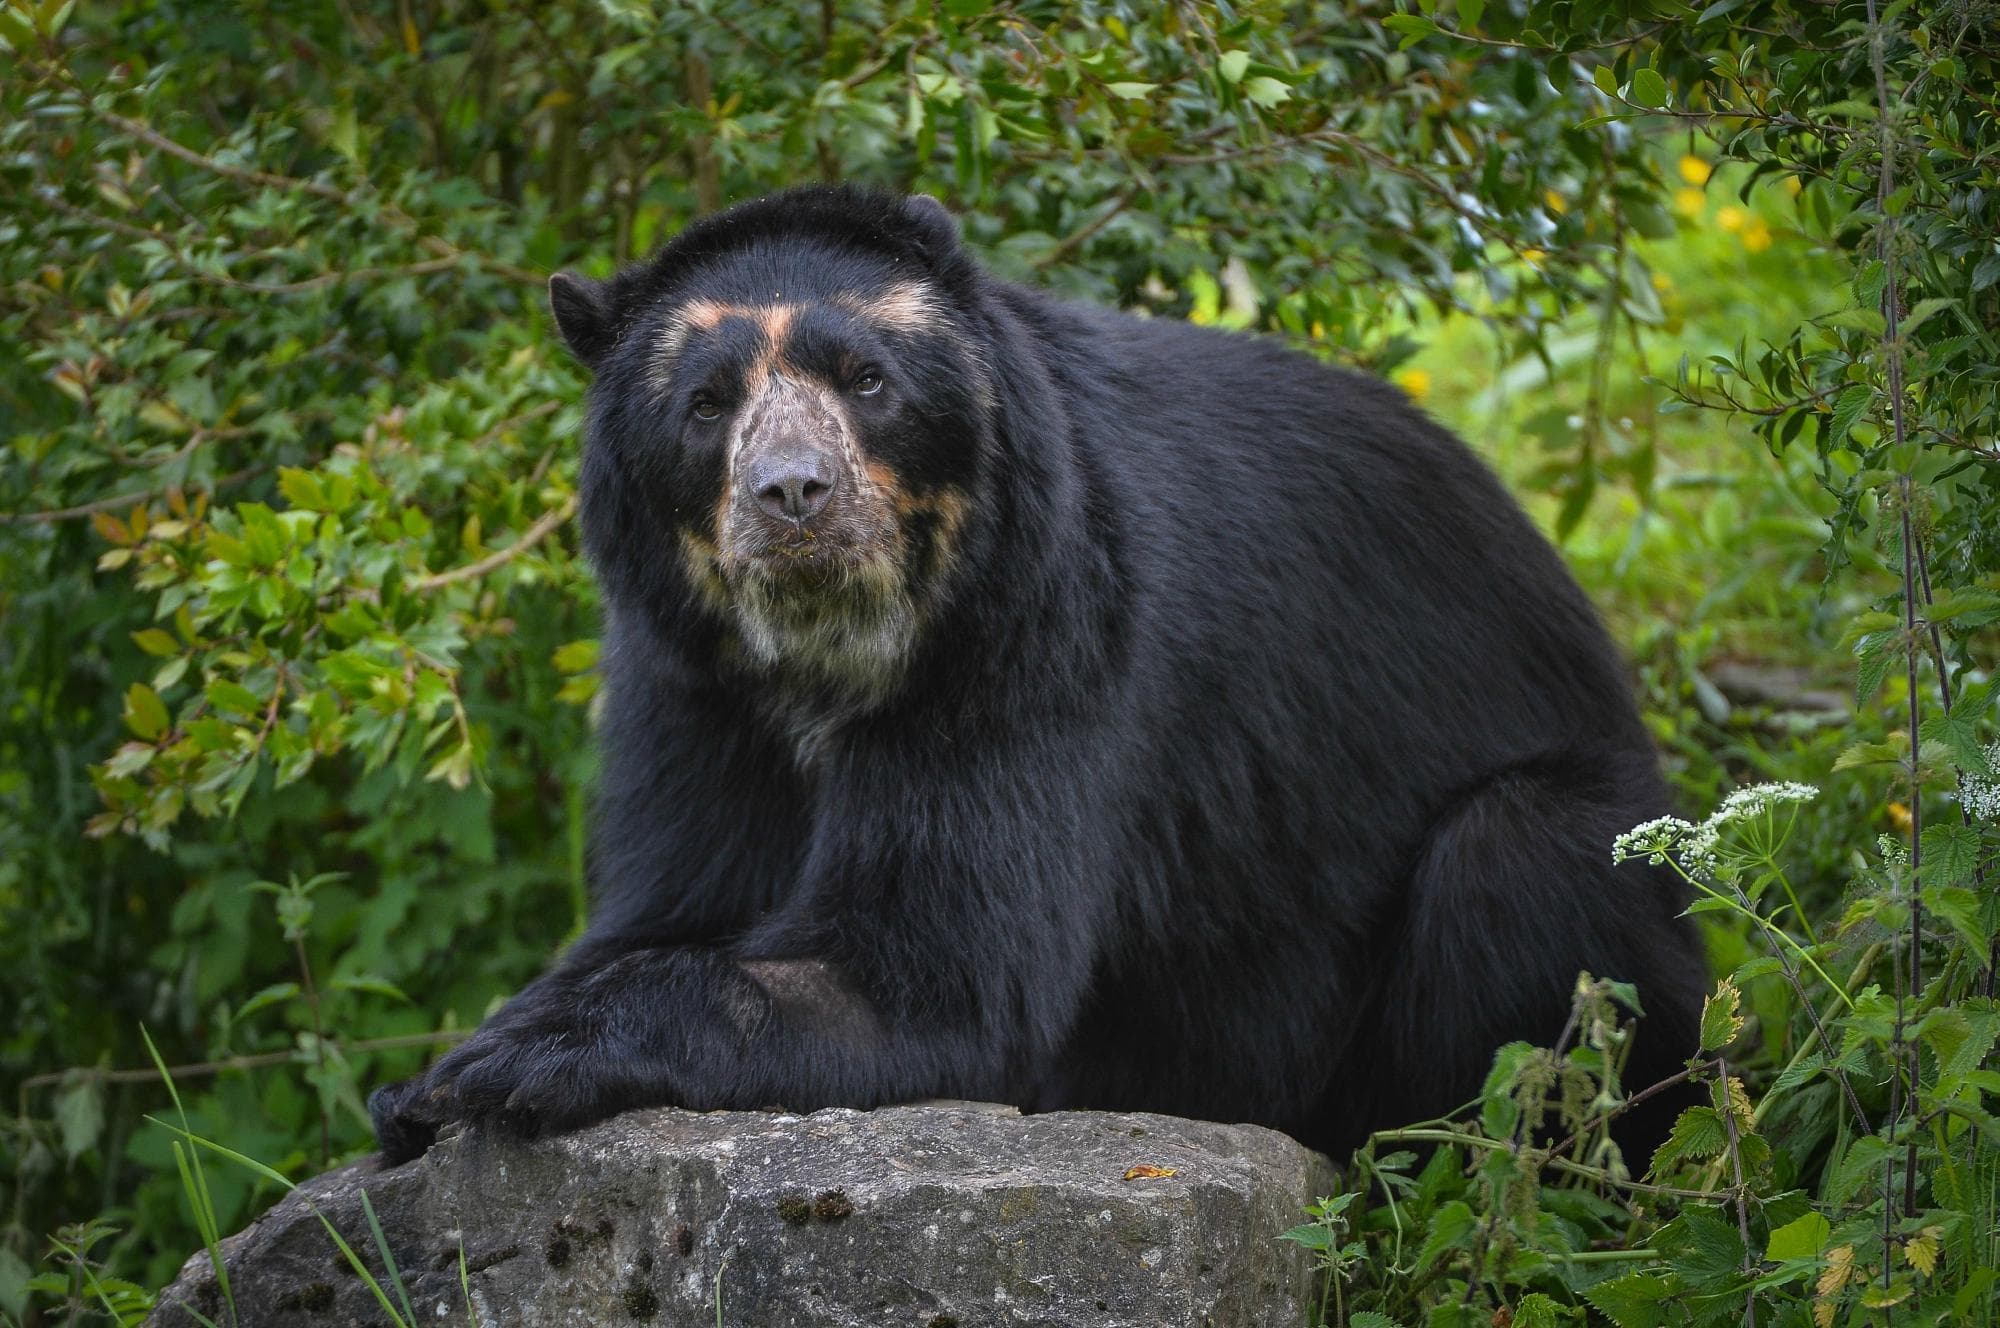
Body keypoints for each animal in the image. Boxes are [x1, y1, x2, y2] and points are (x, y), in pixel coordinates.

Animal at [369, 185, 1704, 1167]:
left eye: (867, 380)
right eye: (705, 404)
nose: (793, 495)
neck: (829, 649)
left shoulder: (1042, 628)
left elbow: (940, 981)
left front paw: (511, 1059)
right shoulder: (687, 679)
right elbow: (671, 893)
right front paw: (423, 1077)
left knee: (1520, 862)